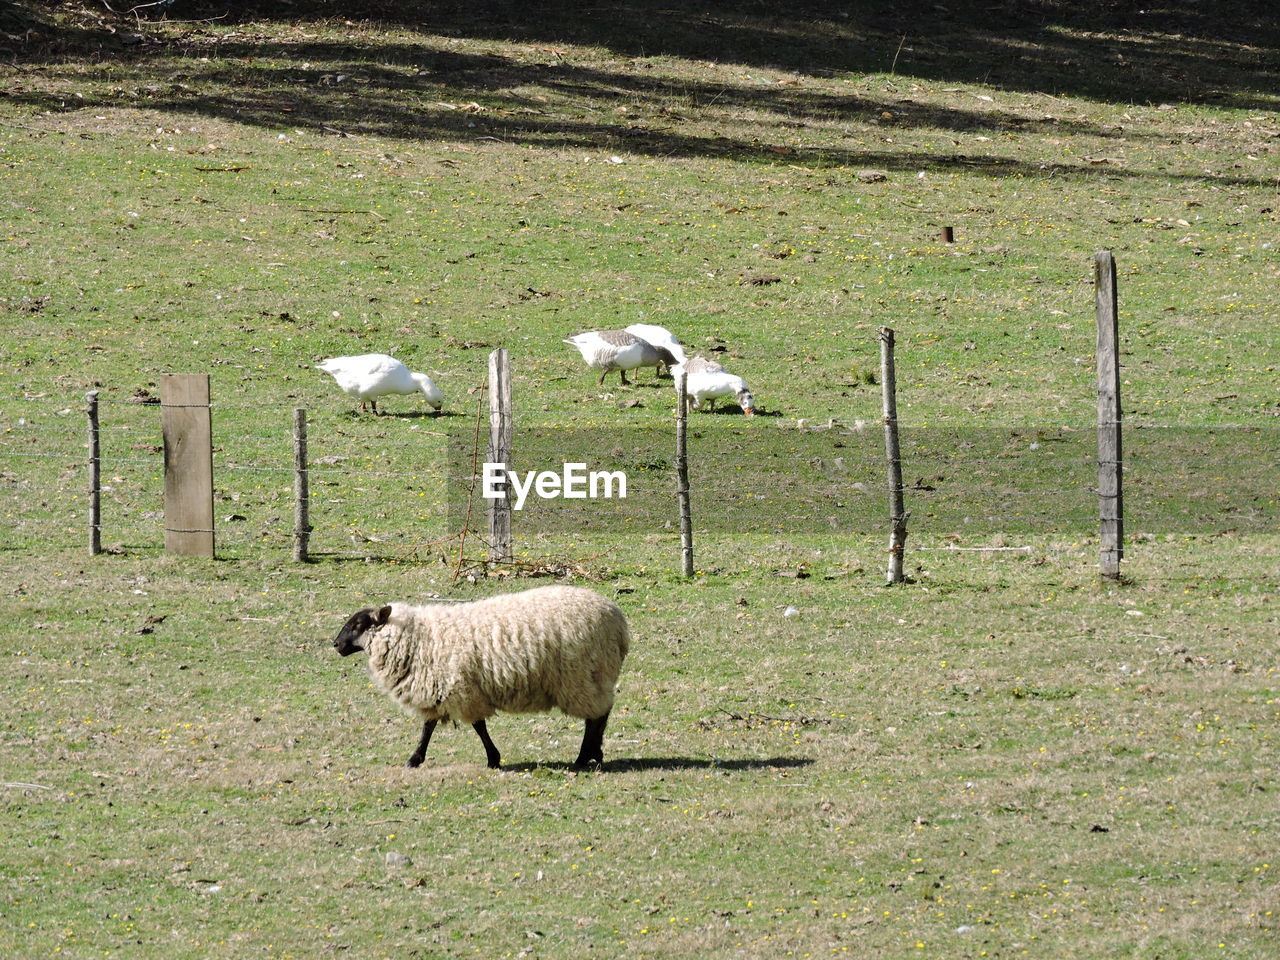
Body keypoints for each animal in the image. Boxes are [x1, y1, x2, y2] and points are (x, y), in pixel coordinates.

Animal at [332, 583, 627, 773]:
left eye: (358, 625)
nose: (336, 645)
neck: (416, 637)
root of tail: (618, 620)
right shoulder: (442, 687)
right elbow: (430, 726)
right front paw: (416, 758)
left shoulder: (459, 688)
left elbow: (477, 726)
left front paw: (492, 759)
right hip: (592, 676)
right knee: (600, 714)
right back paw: (593, 755)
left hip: (583, 675)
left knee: (597, 716)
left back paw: (585, 757)